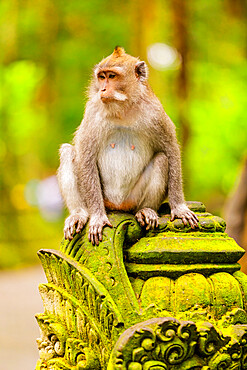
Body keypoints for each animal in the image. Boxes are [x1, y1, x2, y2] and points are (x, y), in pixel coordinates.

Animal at [57, 46, 198, 244]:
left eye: (112, 76)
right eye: (101, 77)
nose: (102, 89)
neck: (122, 110)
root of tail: (118, 205)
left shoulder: (155, 112)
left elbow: (170, 149)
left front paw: (179, 207)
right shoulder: (92, 112)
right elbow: (86, 157)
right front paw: (97, 217)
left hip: (133, 198)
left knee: (162, 159)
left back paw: (145, 210)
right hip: (104, 198)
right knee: (68, 152)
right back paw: (80, 213)